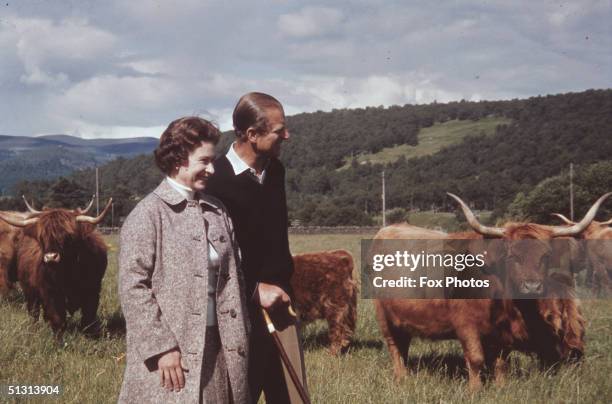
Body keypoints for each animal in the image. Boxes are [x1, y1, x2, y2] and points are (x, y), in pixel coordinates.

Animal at [0, 199, 111, 334]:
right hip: (29, 290)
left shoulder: (93, 291)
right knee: (33, 311)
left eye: (69, 236)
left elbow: (88, 319)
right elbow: (57, 318)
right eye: (42, 237)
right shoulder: (51, 293)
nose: (51, 257)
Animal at [372, 194, 608, 390]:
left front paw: (501, 388)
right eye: (512, 256)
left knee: (403, 344)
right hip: (384, 316)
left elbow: (501, 362)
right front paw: (475, 390)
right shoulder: (465, 325)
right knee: (394, 346)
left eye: (546, 255)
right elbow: (476, 359)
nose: (532, 286)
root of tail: (388, 229)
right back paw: (401, 377)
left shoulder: (502, 332)